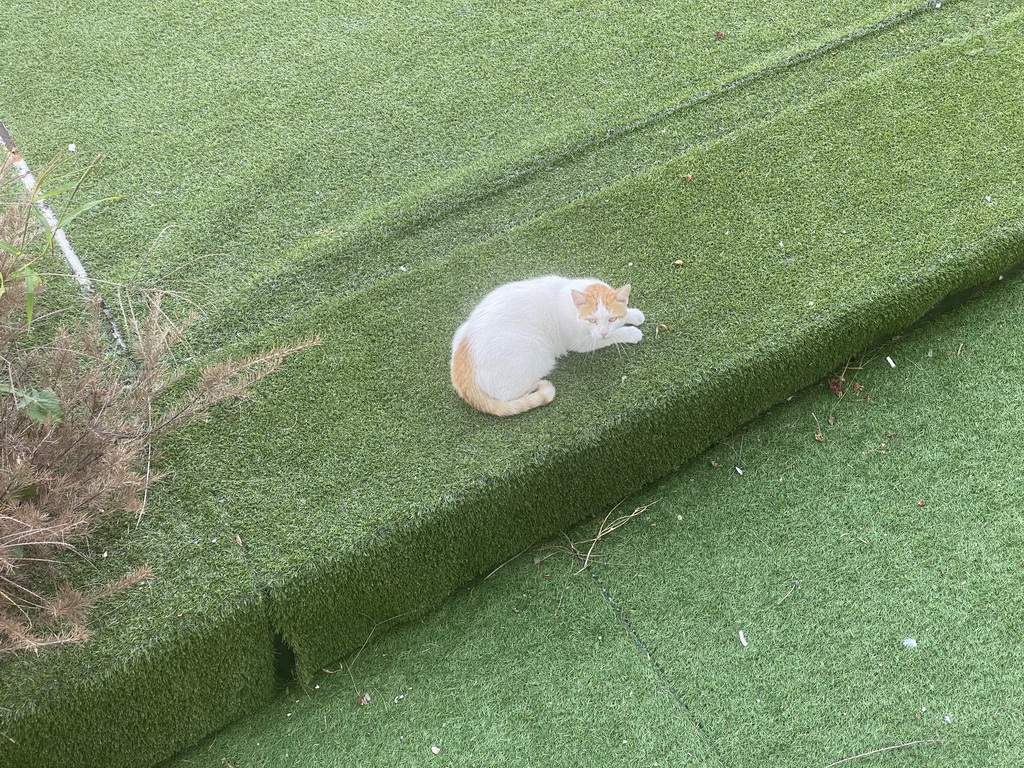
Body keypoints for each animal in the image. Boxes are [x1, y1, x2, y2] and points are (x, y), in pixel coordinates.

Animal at [446, 276, 638, 417]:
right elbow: (611, 337)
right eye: (592, 320)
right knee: (507, 395)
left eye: (612, 318)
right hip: (536, 355)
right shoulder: (581, 342)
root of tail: (459, 372)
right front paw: (631, 332)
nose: (603, 331)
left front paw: (634, 315)